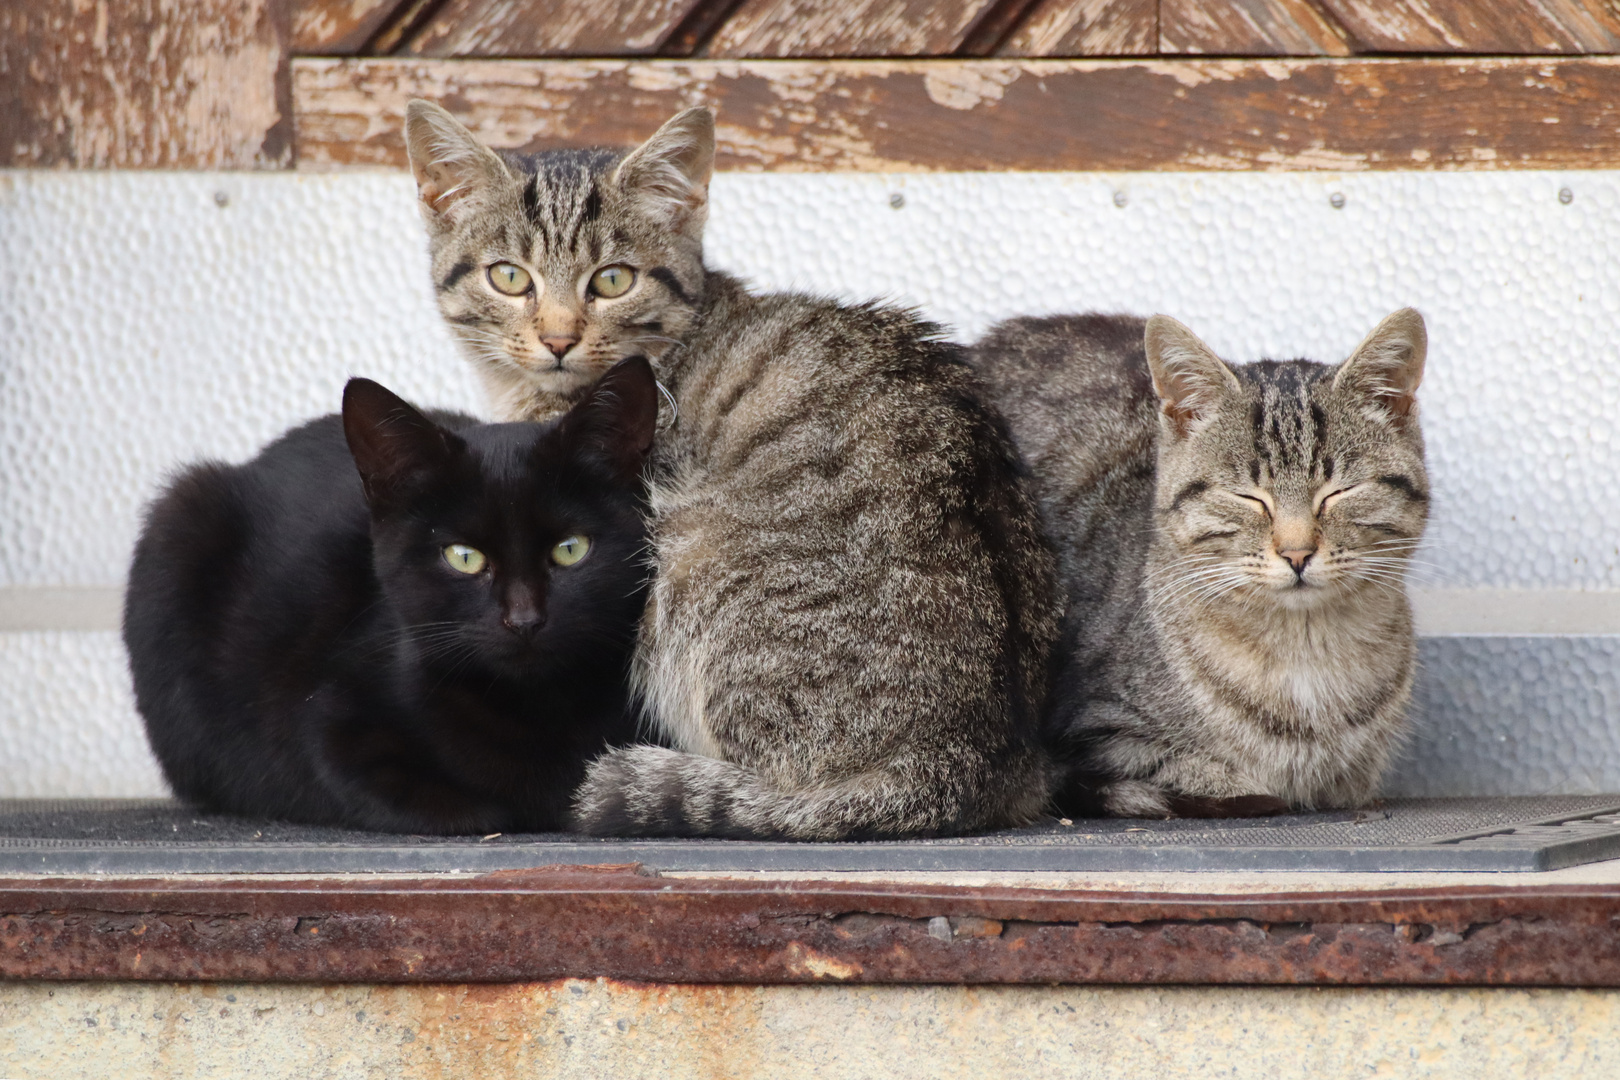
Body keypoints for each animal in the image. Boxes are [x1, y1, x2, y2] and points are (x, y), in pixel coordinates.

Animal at [123, 359, 657, 835]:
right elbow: (432, 801)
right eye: (464, 557)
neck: (533, 710)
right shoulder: (324, 720)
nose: (524, 619)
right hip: (179, 521)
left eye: (570, 549)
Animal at [965, 307, 1425, 816]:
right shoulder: (1096, 737)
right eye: (1247, 497)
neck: (1305, 650)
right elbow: (1206, 775)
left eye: (1339, 492)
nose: (1297, 552)